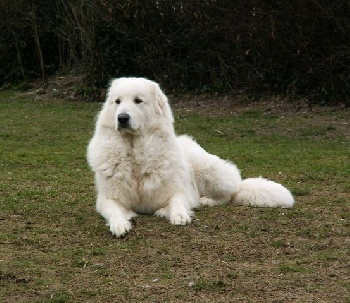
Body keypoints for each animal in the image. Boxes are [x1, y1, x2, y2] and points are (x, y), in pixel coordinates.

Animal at [87, 78, 292, 238]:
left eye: (138, 101)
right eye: (117, 101)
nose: (122, 118)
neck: (136, 150)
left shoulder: (180, 192)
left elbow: (178, 201)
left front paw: (178, 215)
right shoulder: (107, 199)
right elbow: (113, 210)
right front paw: (120, 225)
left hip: (212, 172)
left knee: (231, 194)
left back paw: (207, 200)